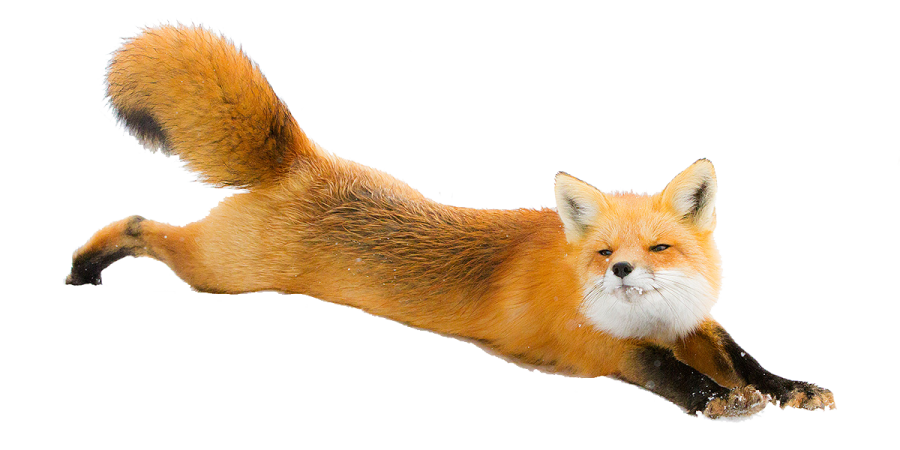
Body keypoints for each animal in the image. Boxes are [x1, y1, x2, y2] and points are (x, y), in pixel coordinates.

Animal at [66, 22, 836, 420]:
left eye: (659, 247)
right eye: (603, 252)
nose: (621, 270)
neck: (648, 316)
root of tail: (300, 159)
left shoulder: (692, 324)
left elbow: (744, 357)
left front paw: (785, 388)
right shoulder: (598, 347)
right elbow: (662, 370)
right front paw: (720, 399)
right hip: (220, 273)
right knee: (140, 224)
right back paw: (87, 263)